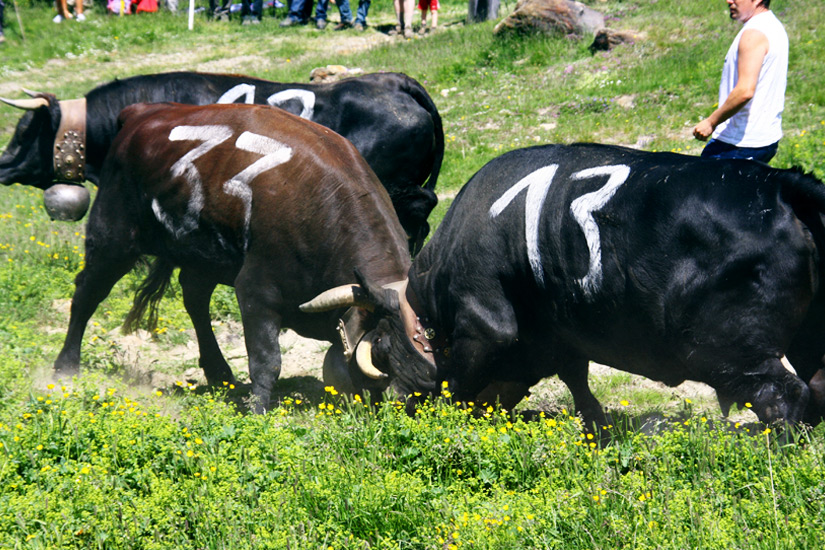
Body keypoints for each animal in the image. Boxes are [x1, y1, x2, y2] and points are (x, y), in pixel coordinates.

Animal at [55, 103, 434, 414]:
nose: (413, 399)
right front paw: (258, 411)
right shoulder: (256, 291)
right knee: (87, 293)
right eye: (382, 349)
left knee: (195, 300)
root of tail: (142, 112)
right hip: (113, 238)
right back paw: (66, 366)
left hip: (201, 256)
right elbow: (267, 360)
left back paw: (219, 373)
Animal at [302, 144, 824, 430]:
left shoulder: (484, 326)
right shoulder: (560, 338)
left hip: (734, 352)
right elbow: (580, 387)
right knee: (814, 391)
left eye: (384, 349)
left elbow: (460, 387)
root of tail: (783, 186)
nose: (390, 403)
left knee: (785, 401)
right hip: (804, 344)